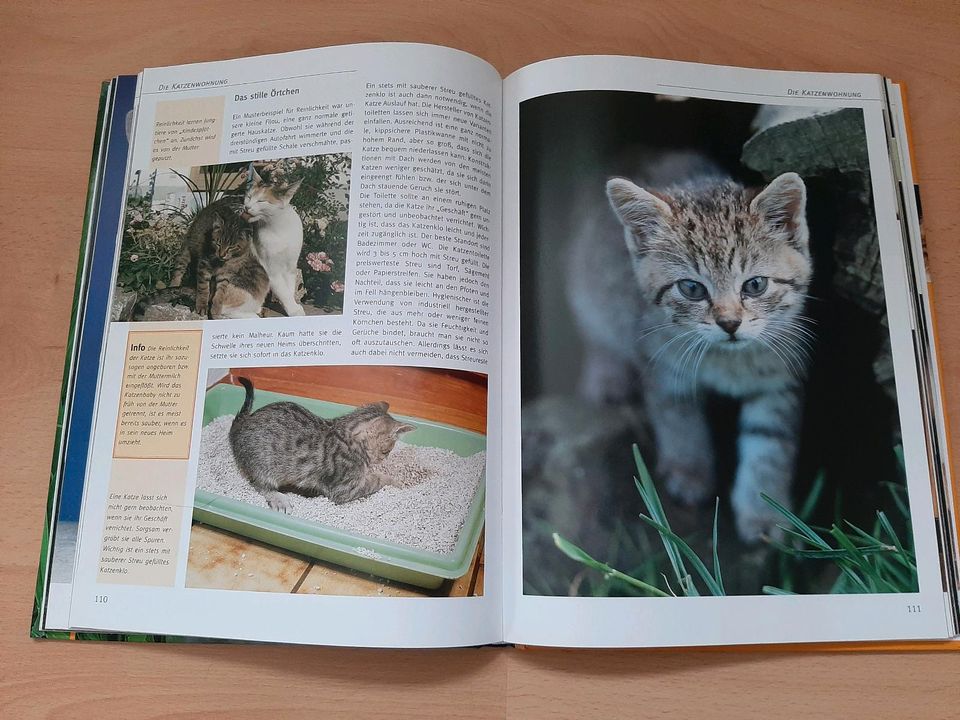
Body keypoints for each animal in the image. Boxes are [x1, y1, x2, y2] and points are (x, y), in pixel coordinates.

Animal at [232, 376, 416, 512]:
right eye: (387, 451)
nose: (384, 459)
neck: (344, 433)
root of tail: (242, 425)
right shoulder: (344, 489)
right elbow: (377, 479)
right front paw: (395, 481)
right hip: (263, 465)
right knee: (260, 485)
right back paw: (279, 498)